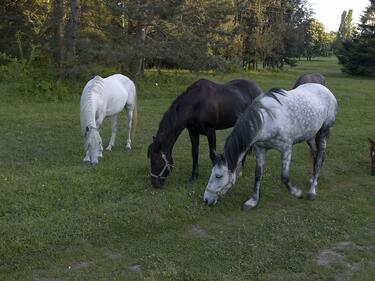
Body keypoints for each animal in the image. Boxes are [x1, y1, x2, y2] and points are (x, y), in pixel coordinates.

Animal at [204, 82, 340, 209]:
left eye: (218, 176)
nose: (205, 199)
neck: (268, 120)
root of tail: (326, 90)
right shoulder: (261, 149)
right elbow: (258, 175)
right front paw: (253, 201)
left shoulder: (286, 149)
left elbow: (284, 177)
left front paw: (298, 193)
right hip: (310, 136)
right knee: (317, 156)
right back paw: (313, 180)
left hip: (324, 131)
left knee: (320, 156)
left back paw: (312, 191)